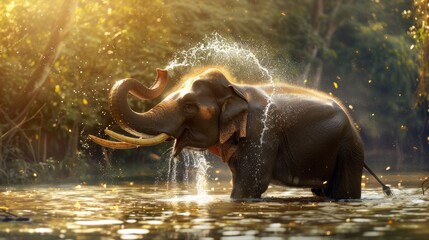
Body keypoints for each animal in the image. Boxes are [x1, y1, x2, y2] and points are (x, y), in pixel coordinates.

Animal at [88, 67, 390, 199]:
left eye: (189, 106)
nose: (160, 71)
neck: (236, 88)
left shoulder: (261, 134)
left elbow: (250, 184)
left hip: (350, 146)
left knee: (344, 189)